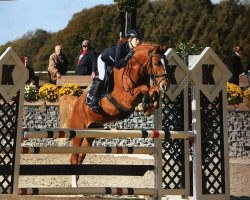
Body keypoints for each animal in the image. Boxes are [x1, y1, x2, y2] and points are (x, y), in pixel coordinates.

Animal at [59, 43, 169, 187]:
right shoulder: (126, 100)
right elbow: (145, 88)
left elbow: (151, 90)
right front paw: (144, 105)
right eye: (156, 63)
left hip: (90, 133)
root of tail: (76, 103)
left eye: (166, 62)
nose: (165, 85)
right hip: (78, 131)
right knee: (74, 157)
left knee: (80, 156)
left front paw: (148, 106)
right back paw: (74, 186)